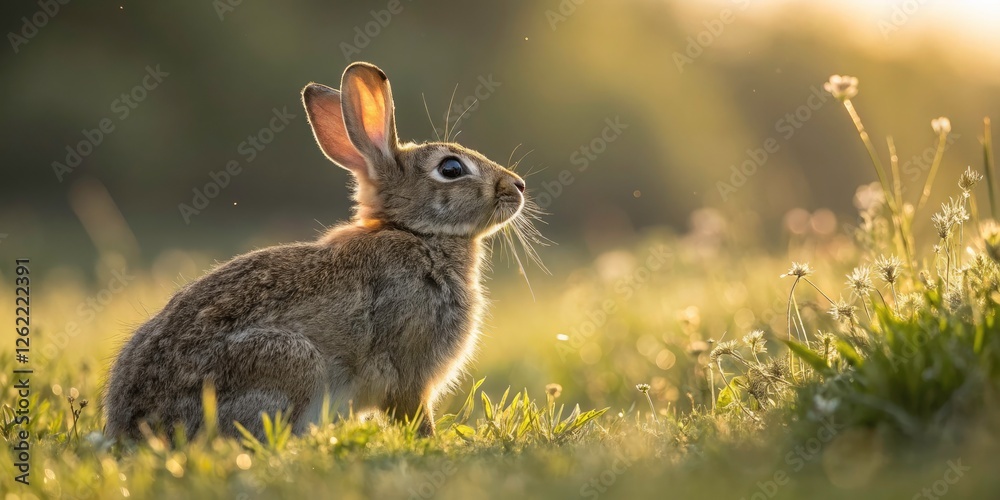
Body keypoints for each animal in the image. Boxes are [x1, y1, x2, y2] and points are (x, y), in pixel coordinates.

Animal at [103, 62, 533, 440]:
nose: (518, 186)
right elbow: (415, 416)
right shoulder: (410, 373)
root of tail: (136, 426)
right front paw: (434, 445)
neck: (419, 233)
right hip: (290, 363)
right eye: (451, 169)